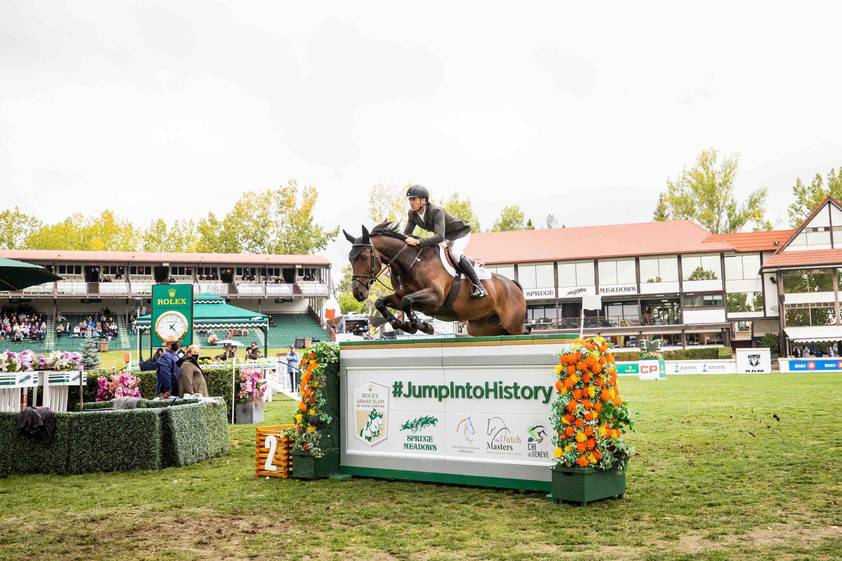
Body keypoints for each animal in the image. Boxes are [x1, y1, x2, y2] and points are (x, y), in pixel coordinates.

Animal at [340, 221, 524, 334]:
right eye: (350, 259)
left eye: (364, 257)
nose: (358, 293)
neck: (412, 262)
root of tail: (514, 286)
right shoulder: (399, 296)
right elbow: (382, 302)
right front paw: (401, 324)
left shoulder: (436, 297)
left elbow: (407, 301)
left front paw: (420, 325)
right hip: (481, 327)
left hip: (513, 325)